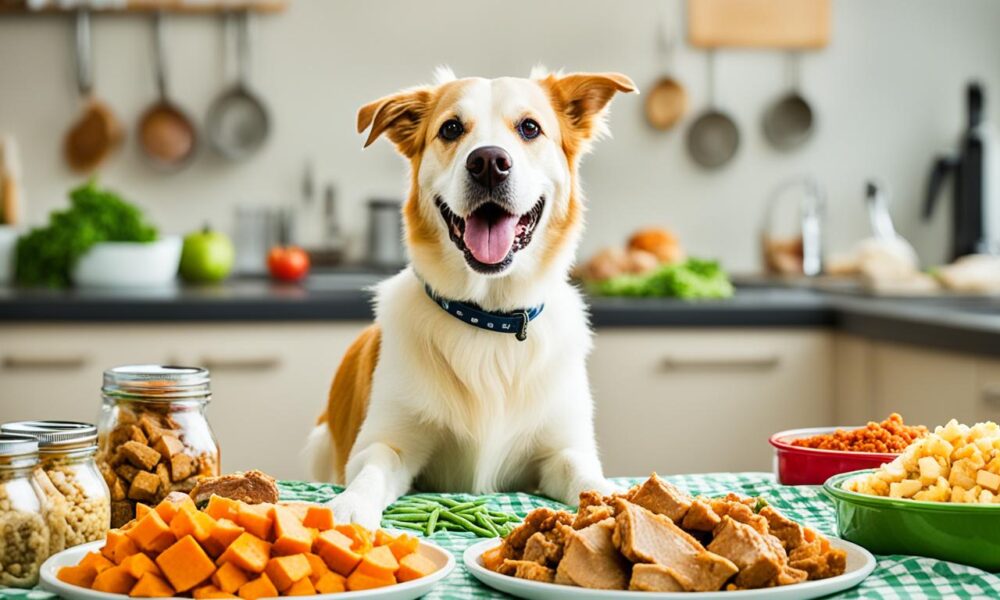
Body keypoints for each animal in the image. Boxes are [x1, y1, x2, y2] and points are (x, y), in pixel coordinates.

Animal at [304, 65, 632, 528]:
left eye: (530, 128)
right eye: (451, 128)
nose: (489, 163)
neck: (489, 320)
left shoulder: (561, 449)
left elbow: (584, 472)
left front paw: (622, 500)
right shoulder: (386, 442)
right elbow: (372, 471)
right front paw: (349, 508)